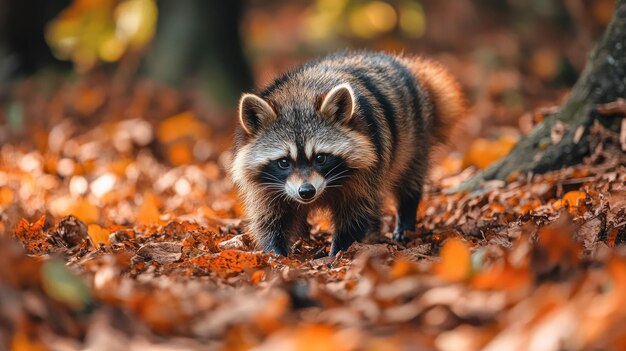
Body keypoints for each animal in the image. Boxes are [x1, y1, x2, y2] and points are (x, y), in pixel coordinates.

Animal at [229, 51, 464, 258]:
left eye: (320, 158)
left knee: (408, 177)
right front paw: (275, 251)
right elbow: (270, 217)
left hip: (415, 136)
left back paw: (405, 217)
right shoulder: (267, 185)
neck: (299, 97)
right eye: (284, 162)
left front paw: (339, 250)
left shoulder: (366, 168)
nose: (306, 191)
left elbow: (356, 210)